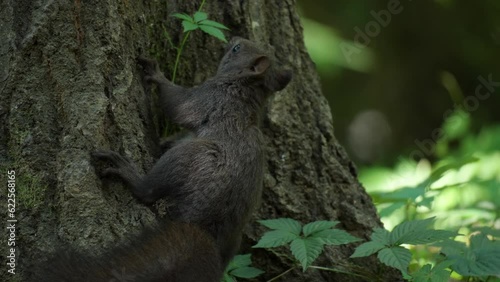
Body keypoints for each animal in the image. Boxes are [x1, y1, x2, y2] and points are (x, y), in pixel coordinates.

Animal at [33, 37, 292, 282]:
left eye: (237, 49)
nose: (233, 38)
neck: (245, 89)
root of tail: (204, 227)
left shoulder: (209, 97)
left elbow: (178, 104)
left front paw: (156, 74)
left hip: (192, 158)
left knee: (147, 191)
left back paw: (125, 170)